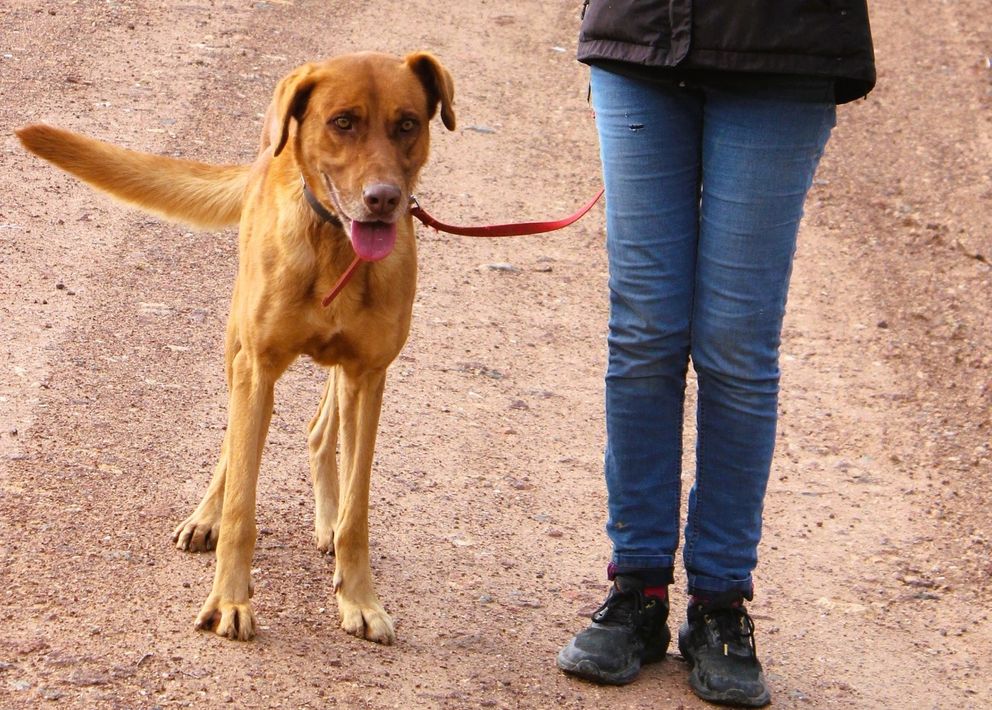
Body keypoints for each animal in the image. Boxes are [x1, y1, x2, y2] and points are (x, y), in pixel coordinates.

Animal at [16, 51, 456, 644]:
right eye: (342, 122)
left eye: (407, 124)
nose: (383, 200)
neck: (334, 247)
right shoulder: (258, 366)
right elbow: (242, 506)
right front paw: (229, 599)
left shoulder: (369, 375)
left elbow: (357, 511)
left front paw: (360, 598)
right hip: (236, 352)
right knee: (233, 445)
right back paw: (205, 516)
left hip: (341, 376)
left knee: (321, 431)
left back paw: (326, 519)